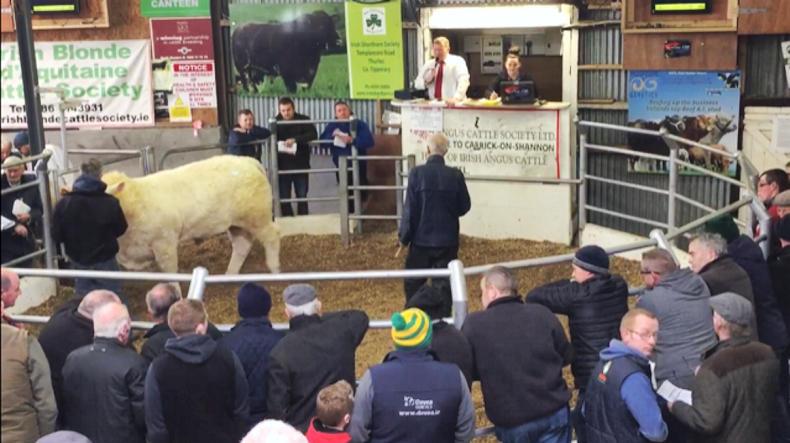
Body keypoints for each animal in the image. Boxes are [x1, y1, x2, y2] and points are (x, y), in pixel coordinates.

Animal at [101, 156, 280, 275]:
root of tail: (248, 161)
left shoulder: (164, 244)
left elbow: (170, 274)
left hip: (258, 217)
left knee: (273, 237)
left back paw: (274, 269)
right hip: (236, 224)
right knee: (242, 247)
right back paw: (230, 274)